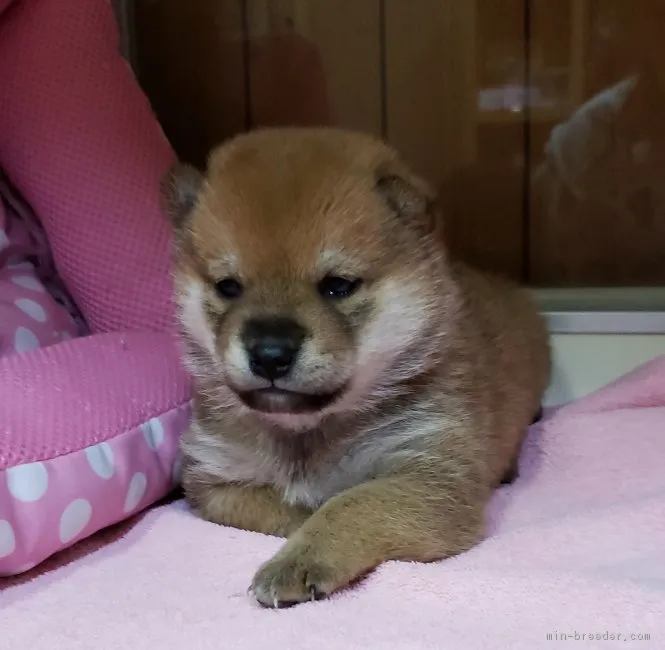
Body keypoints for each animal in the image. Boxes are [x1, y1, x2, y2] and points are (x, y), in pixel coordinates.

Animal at [162, 128, 548, 608]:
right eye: (228, 287)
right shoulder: (214, 480)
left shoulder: (427, 473)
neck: (306, 435)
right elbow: (289, 508)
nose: (270, 353)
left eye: (338, 286)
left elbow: (351, 504)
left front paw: (301, 557)